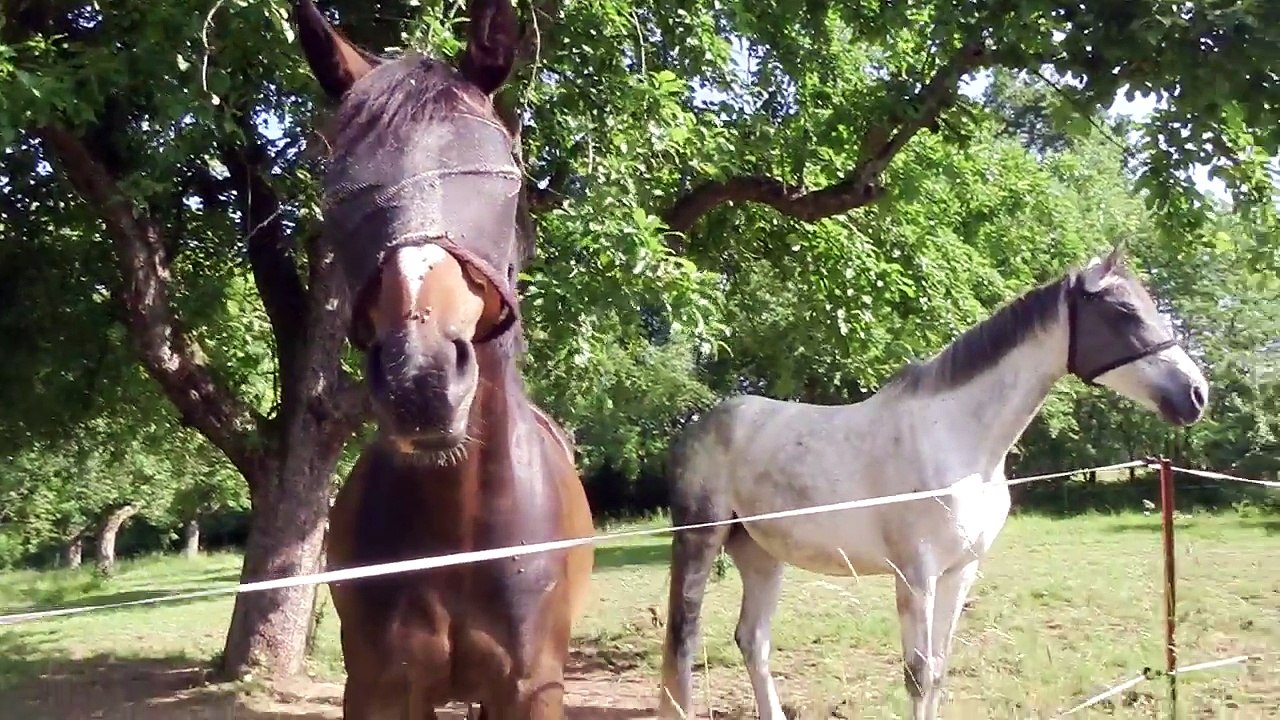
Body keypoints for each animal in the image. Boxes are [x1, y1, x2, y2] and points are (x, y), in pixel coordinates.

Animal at [656, 246, 1209, 720]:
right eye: (1124, 312)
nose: (1197, 394)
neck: (960, 442)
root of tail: (699, 425)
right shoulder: (915, 575)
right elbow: (918, 675)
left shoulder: (960, 571)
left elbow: (939, 671)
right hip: (701, 539)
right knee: (685, 640)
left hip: (761, 555)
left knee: (753, 641)